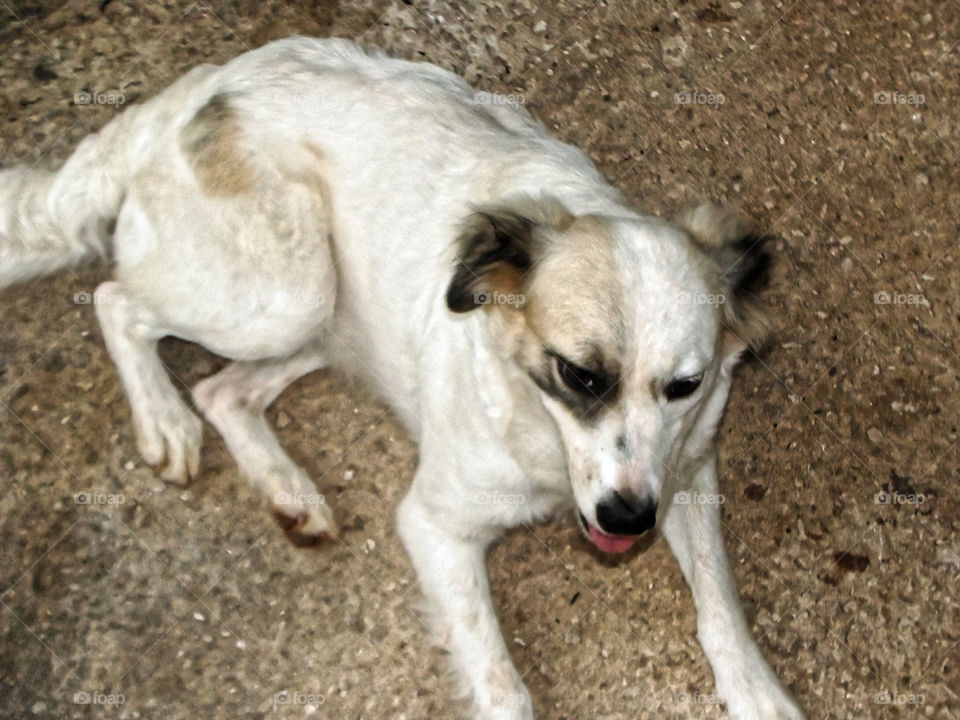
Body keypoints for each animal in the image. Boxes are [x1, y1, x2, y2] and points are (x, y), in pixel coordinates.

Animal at [1, 39, 804, 720]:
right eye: (577, 374)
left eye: (684, 387)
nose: (629, 522)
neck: (537, 428)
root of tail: (196, 90)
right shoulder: (434, 525)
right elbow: (502, 688)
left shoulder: (686, 470)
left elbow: (722, 606)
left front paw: (758, 692)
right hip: (283, 293)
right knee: (118, 302)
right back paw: (165, 420)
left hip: (331, 316)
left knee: (222, 390)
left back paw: (289, 491)